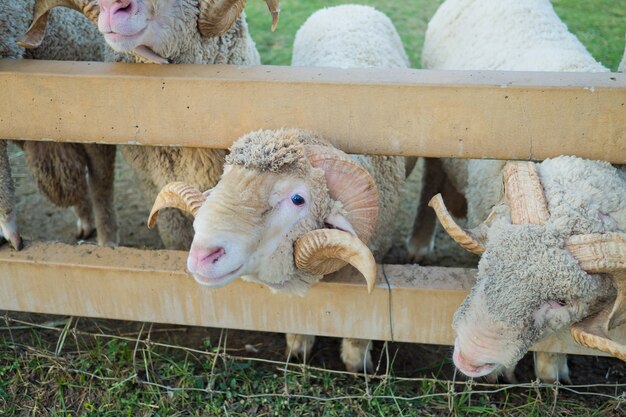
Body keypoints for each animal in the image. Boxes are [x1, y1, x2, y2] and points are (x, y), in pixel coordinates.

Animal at [148, 5, 408, 370]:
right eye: (225, 178)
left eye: (298, 198)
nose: (201, 256)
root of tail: (346, 5)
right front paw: (298, 346)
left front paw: (357, 361)